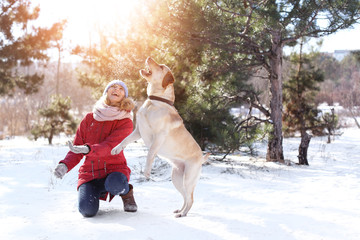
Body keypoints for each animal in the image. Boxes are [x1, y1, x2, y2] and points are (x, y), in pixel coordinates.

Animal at [112, 56, 208, 218]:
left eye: (162, 66)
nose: (149, 57)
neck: (154, 101)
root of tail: (201, 158)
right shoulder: (138, 131)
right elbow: (124, 140)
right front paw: (116, 149)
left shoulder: (159, 136)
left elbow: (150, 153)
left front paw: (146, 172)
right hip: (177, 178)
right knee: (185, 197)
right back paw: (180, 210)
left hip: (188, 179)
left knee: (190, 198)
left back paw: (183, 214)